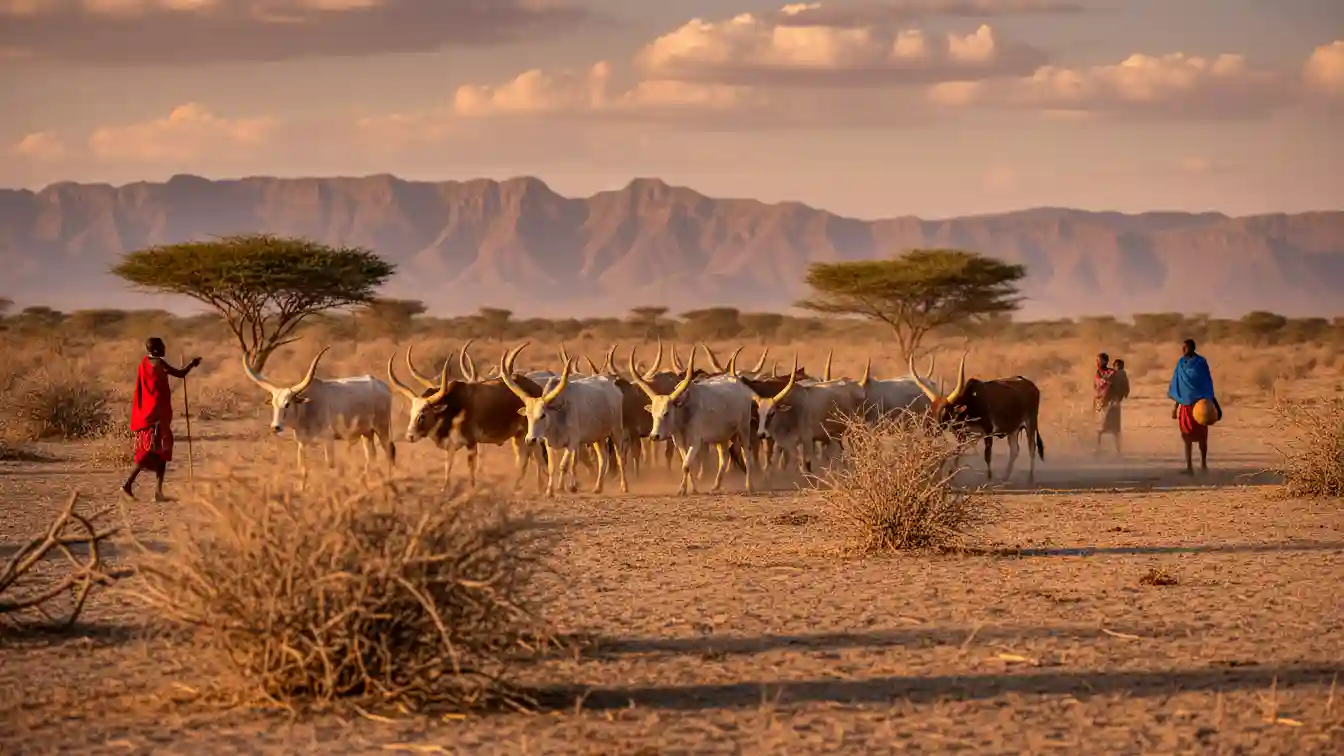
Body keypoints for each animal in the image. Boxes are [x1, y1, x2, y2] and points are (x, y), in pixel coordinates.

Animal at [242, 347, 396, 481]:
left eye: (287, 404)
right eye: (274, 404)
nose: (275, 427)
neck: (306, 407)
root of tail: (382, 386)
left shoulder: (328, 439)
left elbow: (330, 465)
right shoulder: (302, 443)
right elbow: (302, 469)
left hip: (382, 429)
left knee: (389, 451)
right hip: (367, 433)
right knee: (371, 455)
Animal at [386, 349, 546, 491]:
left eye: (422, 415)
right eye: (412, 413)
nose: (410, 436)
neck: (453, 406)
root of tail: (537, 388)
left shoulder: (471, 443)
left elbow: (471, 469)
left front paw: (471, 489)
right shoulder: (450, 445)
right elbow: (448, 466)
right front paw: (445, 489)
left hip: (529, 435)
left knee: (534, 458)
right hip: (520, 437)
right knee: (526, 459)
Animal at [499, 343, 629, 498]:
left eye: (543, 415)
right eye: (528, 415)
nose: (530, 440)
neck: (557, 415)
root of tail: (613, 385)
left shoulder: (573, 443)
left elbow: (564, 465)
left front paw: (565, 487)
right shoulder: (549, 443)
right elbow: (552, 467)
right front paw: (550, 490)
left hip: (616, 431)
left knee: (620, 457)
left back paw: (624, 486)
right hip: (598, 437)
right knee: (603, 458)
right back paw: (598, 487)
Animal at [628, 346, 756, 495]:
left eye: (666, 413)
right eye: (653, 414)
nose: (654, 436)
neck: (685, 410)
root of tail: (737, 382)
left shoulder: (695, 442)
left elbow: (686, 465)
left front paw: (682, 489)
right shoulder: (679, 442)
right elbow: (687, 464)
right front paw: (691, 488)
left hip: (743, 429)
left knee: (747, 455)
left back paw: (749, 486)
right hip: (720, 436)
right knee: (723, 457)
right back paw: (716, 486)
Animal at [909, 351, 1046, 484]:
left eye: (945, 411)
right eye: (931, 410)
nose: (932, 429)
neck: (970, 404)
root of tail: (1032, 385)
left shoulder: (988, 432)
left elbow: (987, 456)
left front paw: (989, 479)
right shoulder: (961, 435)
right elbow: (957, 453)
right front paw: (951, 477)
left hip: (1030, 423)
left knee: (1032, 448)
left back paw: (1030, 478)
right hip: (1013, 429)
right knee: (1015, 449)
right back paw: (1005, 477)